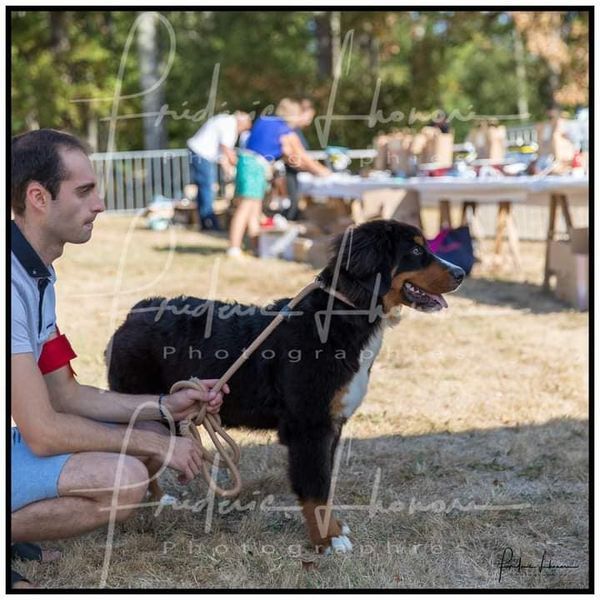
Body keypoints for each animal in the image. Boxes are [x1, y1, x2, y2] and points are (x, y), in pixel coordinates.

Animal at [106, 219, 464, 552]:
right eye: (415, 250)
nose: (460, 273)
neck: (342, 317)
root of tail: (136, 311)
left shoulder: (332, 425)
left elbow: (326, 486)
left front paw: (334, 529)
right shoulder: (310, 427)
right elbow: (316, 489)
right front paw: (327, 540)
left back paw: (158, 500)